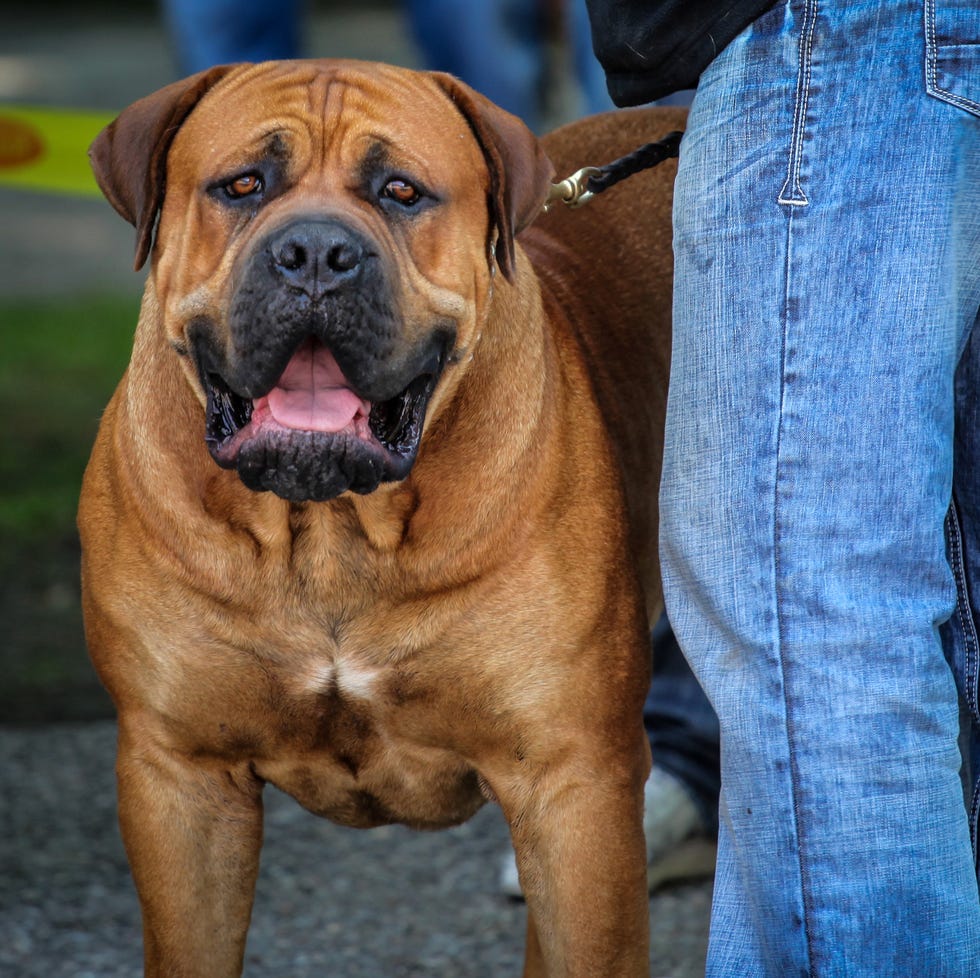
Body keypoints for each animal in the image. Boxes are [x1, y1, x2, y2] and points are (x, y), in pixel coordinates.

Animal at [80, 61, 680, 976]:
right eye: (242, 185)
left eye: (401, 191)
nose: (315, 255)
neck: (330, 530)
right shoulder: (179, 780)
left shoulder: (573, 783)